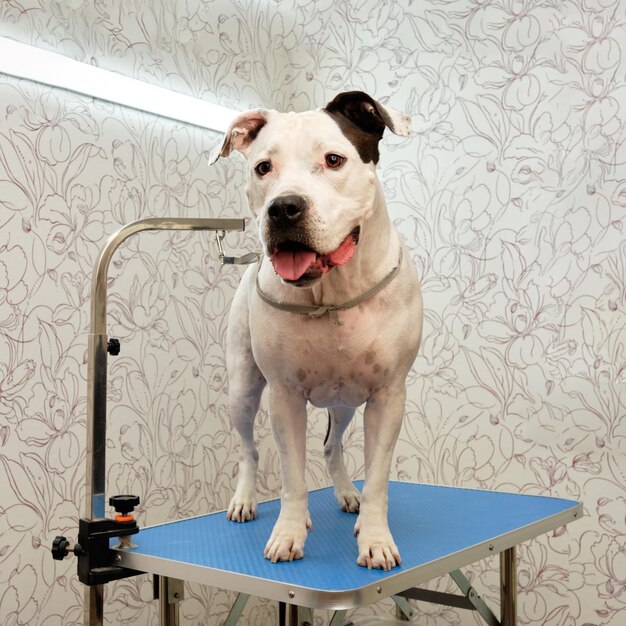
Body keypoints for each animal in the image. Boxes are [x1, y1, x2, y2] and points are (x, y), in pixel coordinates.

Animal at [208, 90, 420, 568]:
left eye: (334, 159)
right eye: (263, 167)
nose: (284, 207)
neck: (333, 294)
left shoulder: (388, 397)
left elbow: (378, 479)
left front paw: (375, 539)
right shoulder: (284, 396)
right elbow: (292, 477)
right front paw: (289, 533)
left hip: (345, 403)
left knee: (331, 444)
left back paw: (346, 494)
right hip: (242, 390)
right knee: (248, 449)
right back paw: (245, 499)